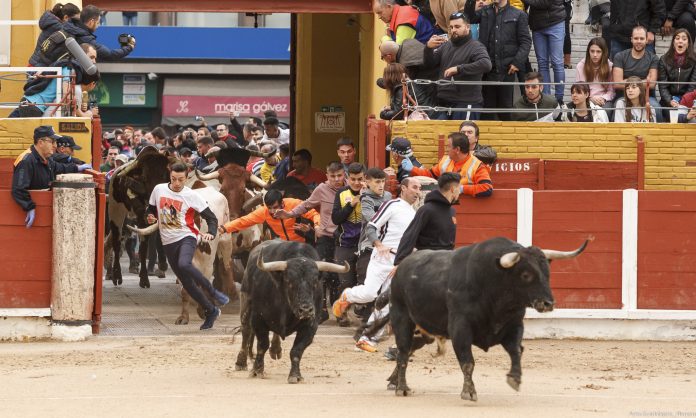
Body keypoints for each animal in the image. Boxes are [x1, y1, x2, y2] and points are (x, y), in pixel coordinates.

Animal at [235, 240, 348, 384]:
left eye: (315, 281)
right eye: (290, 281)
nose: (306, 310)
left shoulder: (310, 326)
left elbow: (296, 350)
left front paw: (295, 375)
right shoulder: (258, 319)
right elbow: (262, 345)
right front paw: (257, 370)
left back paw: (275, 349)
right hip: (245, 305)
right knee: (246, 331)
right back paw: (241, 362)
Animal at [370, 237, 588, 400]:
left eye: (547, 273)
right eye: (526, 274)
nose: (548, 303)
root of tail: (400, 269)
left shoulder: (514, 325)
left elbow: (516, 351)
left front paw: (515, 379)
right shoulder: (460, 328)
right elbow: (468, 362)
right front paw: (469, 392)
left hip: (425, 331)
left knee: (406, 351)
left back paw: (393, 381)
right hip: (402, 319)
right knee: (403, 351)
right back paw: (402, 387)